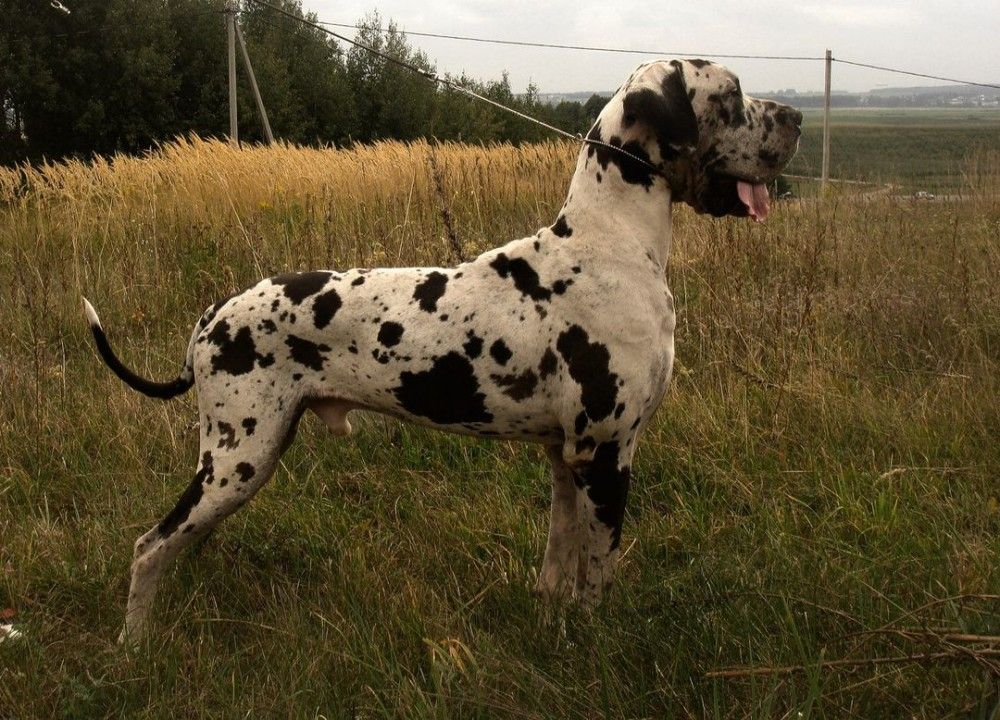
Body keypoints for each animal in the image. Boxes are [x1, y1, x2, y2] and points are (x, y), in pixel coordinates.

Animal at [84, 59, 801, 641]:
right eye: (731, 95)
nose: (794, 117)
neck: (611, 243)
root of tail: (210, 318)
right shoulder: (606, 454)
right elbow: (598, 574)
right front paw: (598, 647)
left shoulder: (565, 457)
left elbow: (559, 562)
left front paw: (554, 629)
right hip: (239, 457)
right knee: (149, 546)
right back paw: (134, 644)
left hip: (245, 460)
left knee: (178, 543)